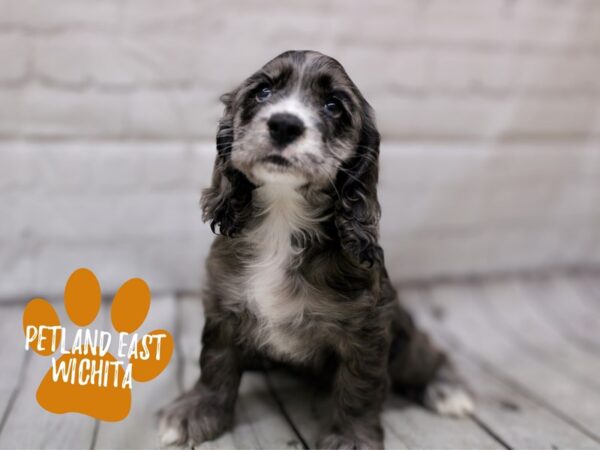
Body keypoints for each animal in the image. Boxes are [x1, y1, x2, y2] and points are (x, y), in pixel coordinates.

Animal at [158, 50, 474, 450]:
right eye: (262, 92)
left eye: (333, 106)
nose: (284, 125)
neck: (283, 216)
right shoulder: (224, 305)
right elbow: (215, 362)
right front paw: (197, 412)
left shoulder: (367, 327)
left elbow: (360, 387)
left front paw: (352, 438)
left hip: (404, 343)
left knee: (428, 353)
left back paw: (447, 390)